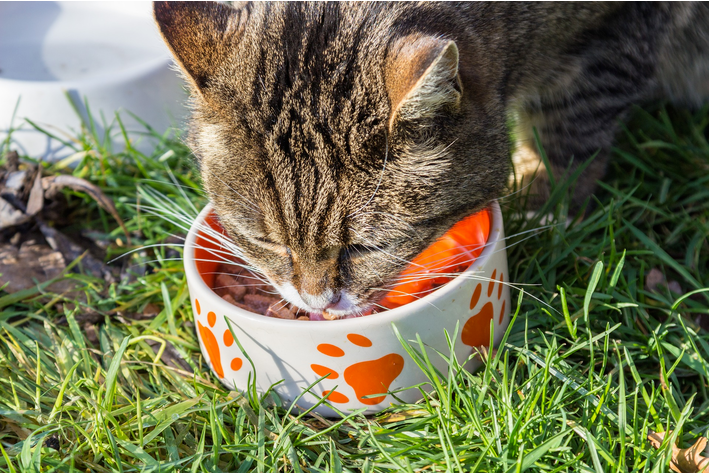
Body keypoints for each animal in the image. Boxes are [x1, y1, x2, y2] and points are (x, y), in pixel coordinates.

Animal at [153, 1, 708, 318]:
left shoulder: (618, 32)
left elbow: (571, 127)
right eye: (267, 241)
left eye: (366, 247)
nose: (316, 302)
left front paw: (547, 204)